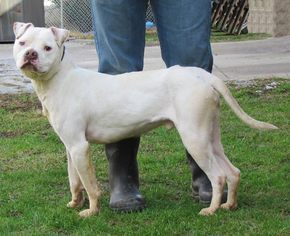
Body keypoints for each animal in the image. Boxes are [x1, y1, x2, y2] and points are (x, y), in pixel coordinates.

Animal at [12, 22, 278, 218]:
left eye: (47, 48)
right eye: (22, 42)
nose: (30, 54)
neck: (59, 78)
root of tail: (202, 75)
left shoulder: (80, 147)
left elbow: (90, 185)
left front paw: (91, 211)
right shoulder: (71, 147)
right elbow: (74, 181)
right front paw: (75, 203)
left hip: (195, 138)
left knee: (219, 176)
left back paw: (211, 209)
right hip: (210, 137)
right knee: (233, 172)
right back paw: (229, 205)